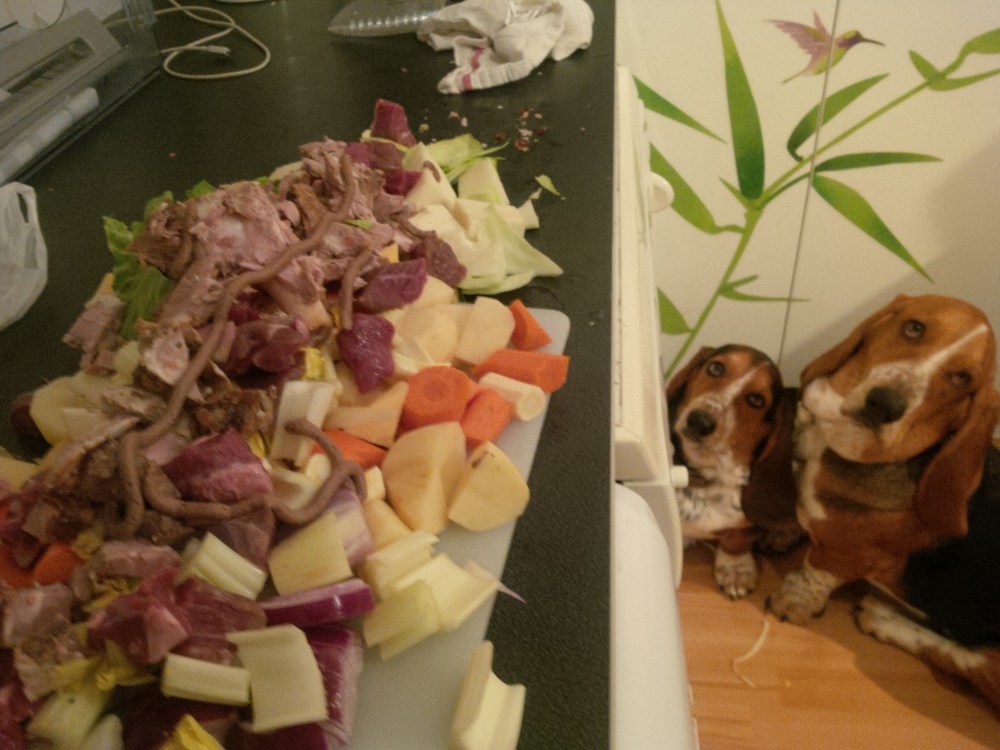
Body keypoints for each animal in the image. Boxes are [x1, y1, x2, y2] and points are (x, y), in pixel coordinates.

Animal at [667, 344, 803, 598]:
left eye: (756, 400)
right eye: (716, 368)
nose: (699, 421)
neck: (706, 479)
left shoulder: (744, 527)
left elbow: (736, 540)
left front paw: (736, 569)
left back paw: (780, 535)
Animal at [767, 294, 1000, 711]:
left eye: (962, 378)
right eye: (914, 327)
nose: (885, 404)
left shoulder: (849, 553)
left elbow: (817, 570)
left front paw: (794, 601)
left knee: (967, 660)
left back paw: (884, 620)